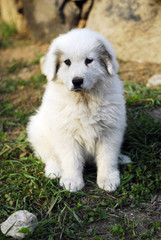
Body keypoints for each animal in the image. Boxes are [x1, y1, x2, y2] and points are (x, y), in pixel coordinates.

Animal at [27, 28, 131, 192]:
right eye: (67, 62)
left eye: (89, 60)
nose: (77, 81)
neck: (84, 100)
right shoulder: (66, 134)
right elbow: (71, 160)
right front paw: (72, 181)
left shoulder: (110, 132)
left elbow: (107, 158)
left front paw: (108, 179)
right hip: (38, 132)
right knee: (50, 156)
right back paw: (54, 171)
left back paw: (121, 158)